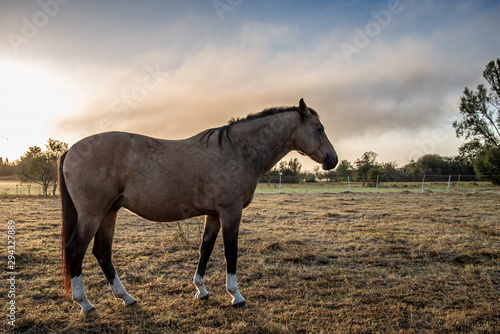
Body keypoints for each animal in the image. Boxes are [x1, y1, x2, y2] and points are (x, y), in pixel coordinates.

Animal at [60, 98, 338, 314]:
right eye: (320, 128)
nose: (333, 160)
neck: (237, 151)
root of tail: (71, 149)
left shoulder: (214, 215)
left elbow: (206, 249)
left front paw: (201, 290)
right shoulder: (231, 212)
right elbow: (230, 252)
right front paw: (236, 296)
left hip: (110, 212)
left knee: (102, 252)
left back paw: (126, 298)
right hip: (92, 214)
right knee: (76, 249)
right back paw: (85, 304)